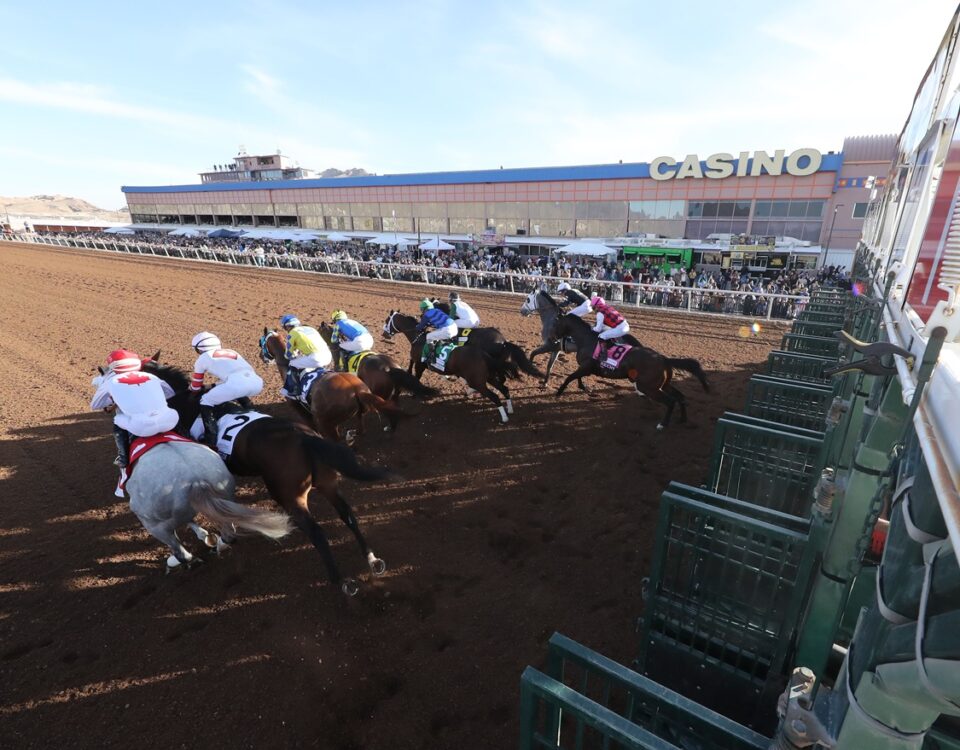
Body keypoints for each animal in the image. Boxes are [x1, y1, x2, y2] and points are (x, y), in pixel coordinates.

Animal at [127, 440, 292, 568]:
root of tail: (196, 480)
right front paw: (206, 536)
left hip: (153, 525)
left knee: (183, 554)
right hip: (224, 499)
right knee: (229, 533)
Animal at [256, 328, 406, 440]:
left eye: (261, 342)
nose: (261, 356)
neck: (287, 366)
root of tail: (357, 391)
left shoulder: (300, 409)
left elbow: (313, 428)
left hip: (327, 423)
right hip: (366, 409)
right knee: (363, 428)